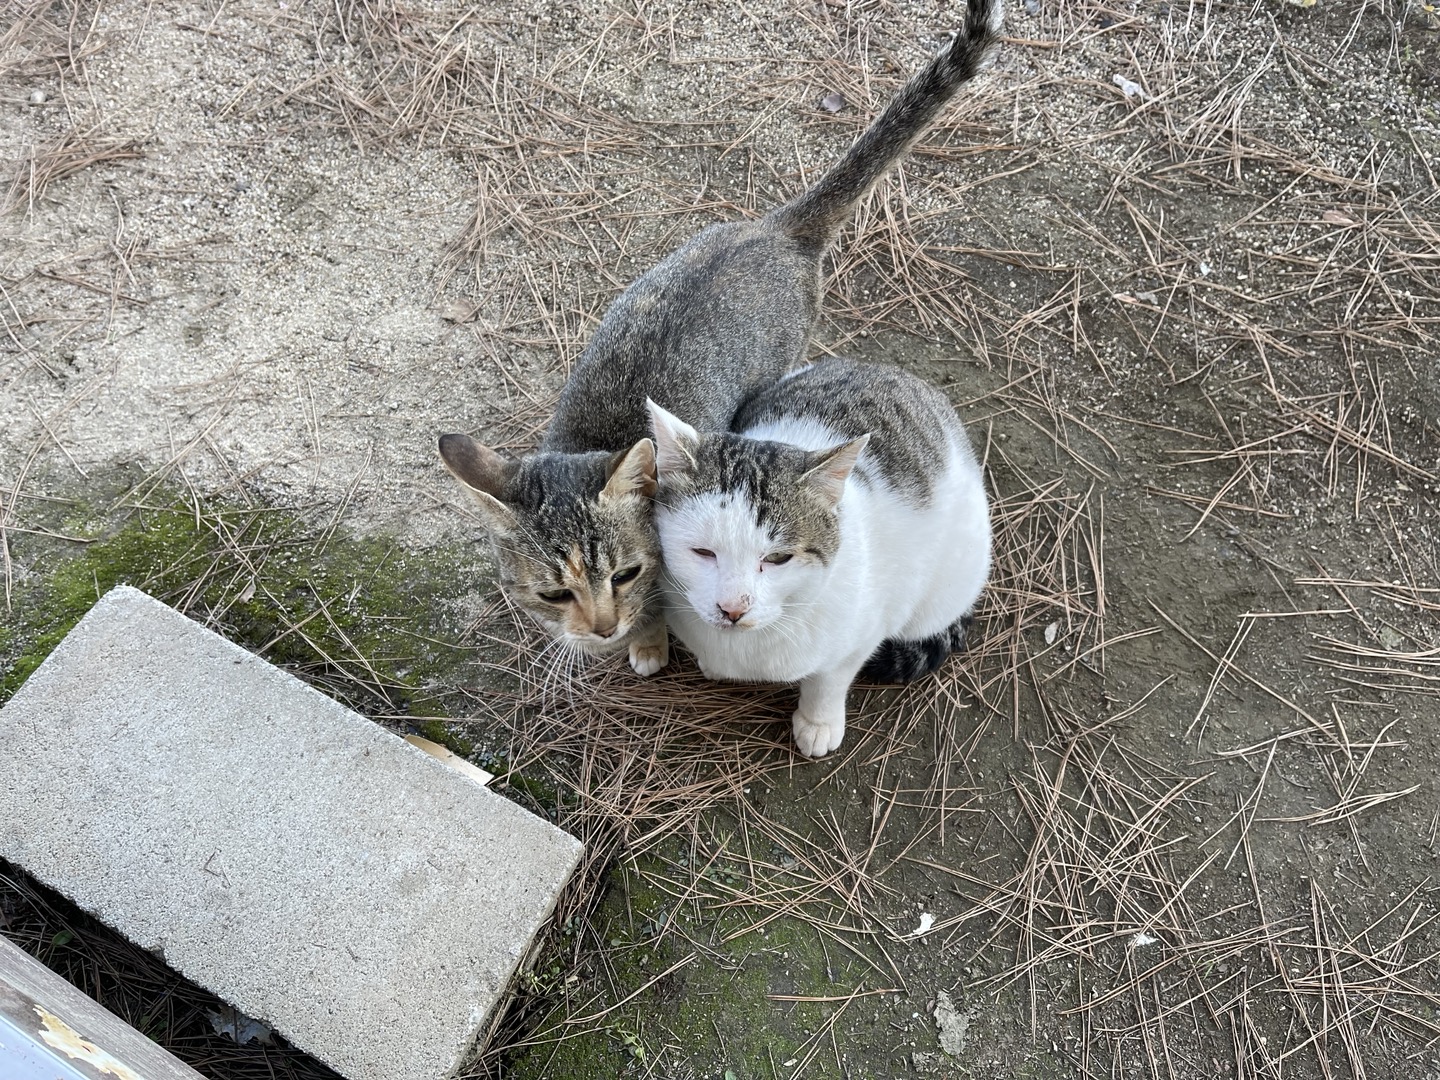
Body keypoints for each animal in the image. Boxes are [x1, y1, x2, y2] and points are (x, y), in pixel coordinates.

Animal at [438, 0, 1003, 677]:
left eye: (625, 574)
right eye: (552, 593)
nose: (601, 629)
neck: (589, 437)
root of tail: (775, 230)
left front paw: (647, 641)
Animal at [647, 358, 992, 758]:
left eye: (779, 558)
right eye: (703, 552)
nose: (733, 609)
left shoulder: (859, 639)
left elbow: (829, 681)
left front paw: (818, 722)